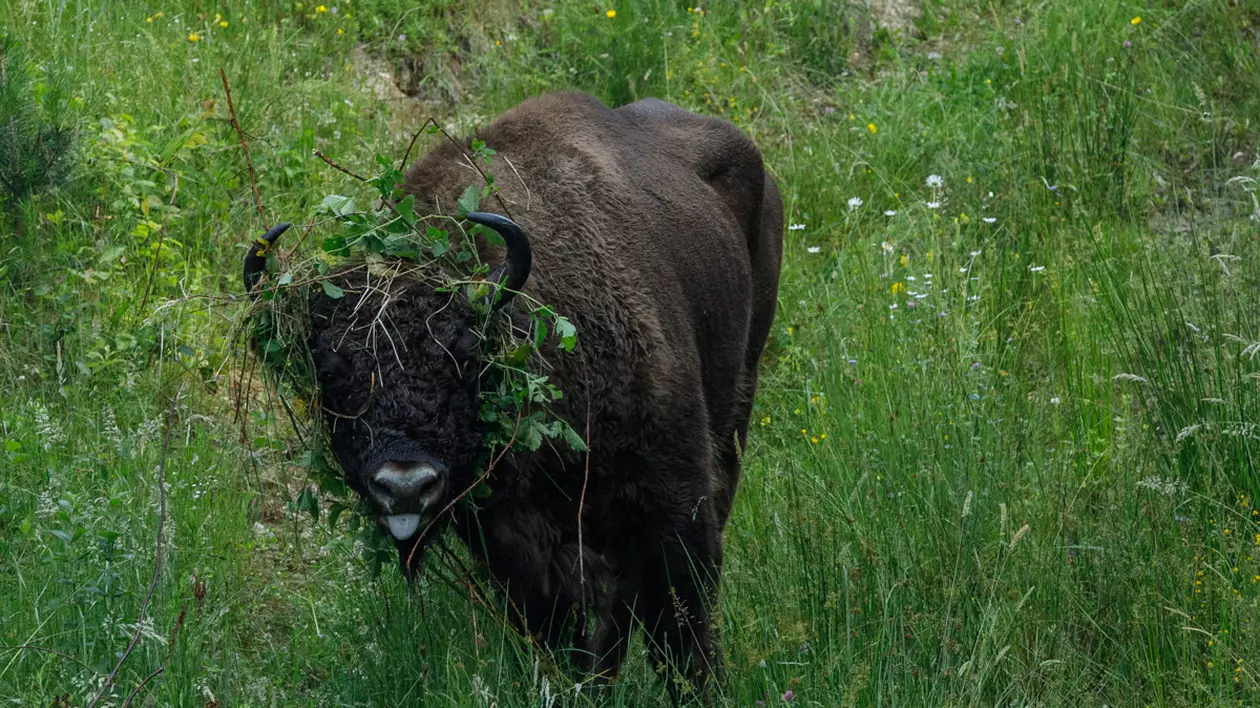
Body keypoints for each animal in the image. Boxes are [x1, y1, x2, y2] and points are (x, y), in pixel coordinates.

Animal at [241, 90, 776, 690]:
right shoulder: (512, 543)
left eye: (466, 356)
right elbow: (563, 626)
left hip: (738, 404)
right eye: (331, 371)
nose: (404, 487)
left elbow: (683, 625)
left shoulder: (675, 501)